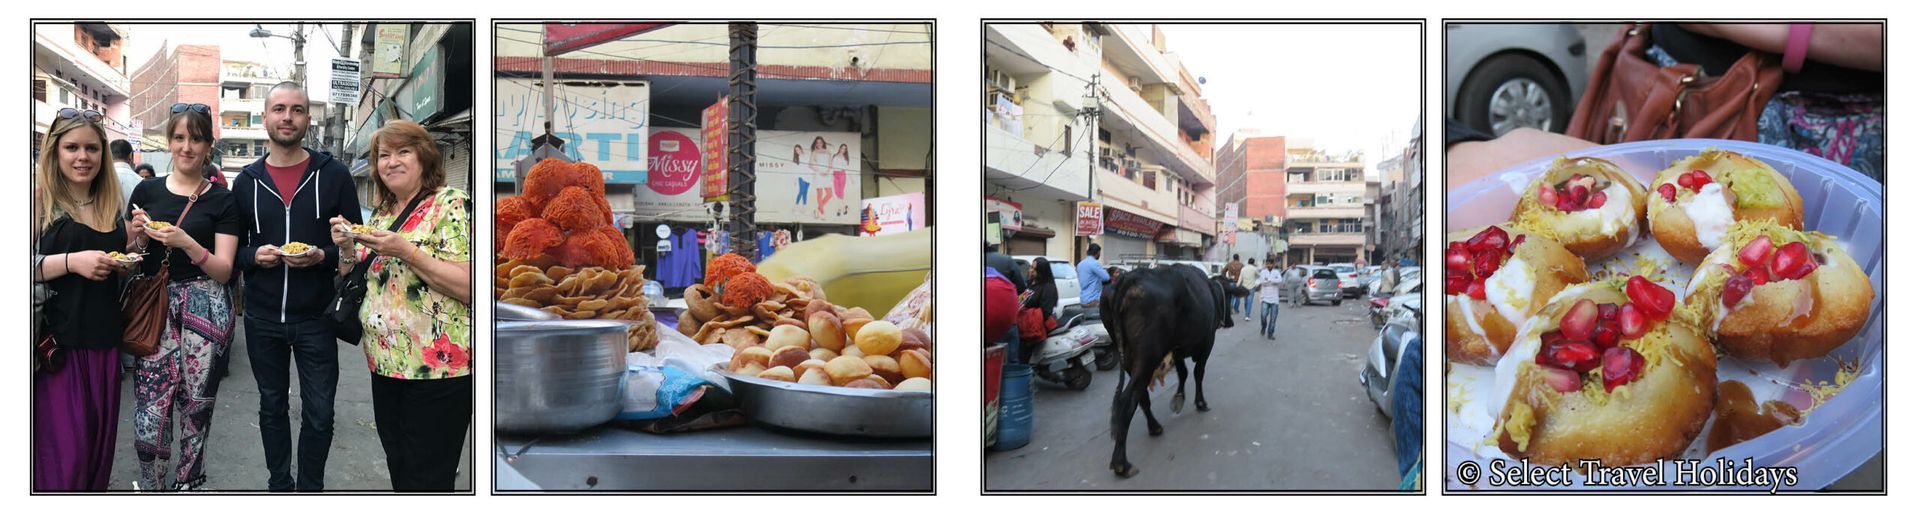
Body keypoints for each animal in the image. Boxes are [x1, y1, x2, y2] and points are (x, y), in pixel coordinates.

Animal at [1098, 264, 1228, 477]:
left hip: (1131, 358)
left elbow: (1183, 373)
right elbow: (1198, 373)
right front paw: (1200, 403)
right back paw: (1121, 464)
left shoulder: (1176, 349)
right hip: (1148, 356)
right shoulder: (1208, 342)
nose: (1229, 321)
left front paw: (1178, 399)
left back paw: (1154, 427)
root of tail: (1129, 277)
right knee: (1127, 399)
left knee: (1140, 395)